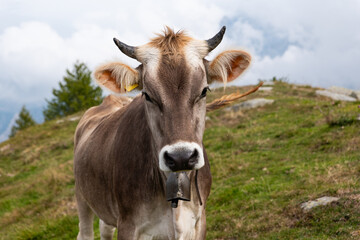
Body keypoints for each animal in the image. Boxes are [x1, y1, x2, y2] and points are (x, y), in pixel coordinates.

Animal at [74, 25, 252, 239]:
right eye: (147, 95)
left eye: (204, 91)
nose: (181, 157)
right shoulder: (128, 225)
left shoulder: (199, 220)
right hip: (81, 196)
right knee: (85, 232)